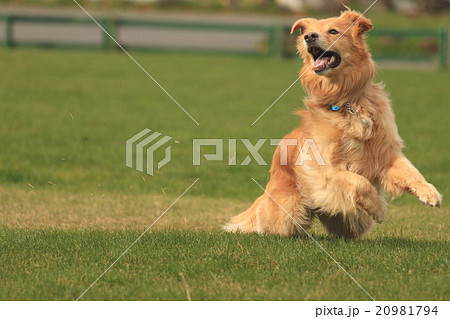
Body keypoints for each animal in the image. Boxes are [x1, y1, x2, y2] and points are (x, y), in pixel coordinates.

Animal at [223, 10, 442, 240]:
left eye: (334, 31)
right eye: (309, 33)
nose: (308, 36)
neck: (345, 102)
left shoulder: (385, 153)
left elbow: (411, 172)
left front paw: (430, 193)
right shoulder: (325, 172)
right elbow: (360, 182)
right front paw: (377, 209)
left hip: (351, 221)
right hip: (288, 214)